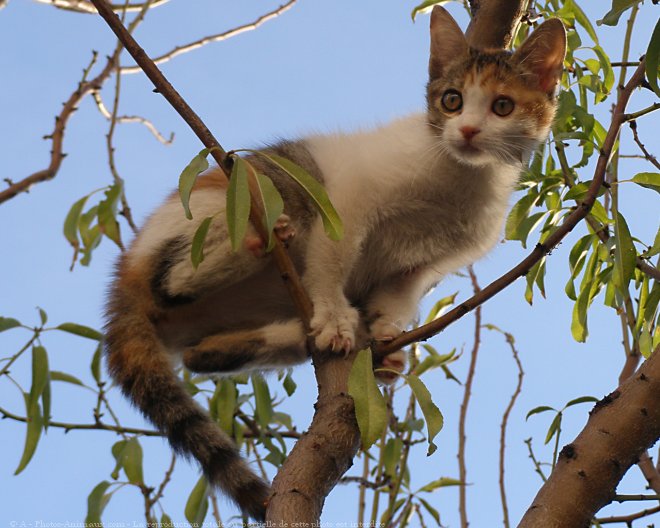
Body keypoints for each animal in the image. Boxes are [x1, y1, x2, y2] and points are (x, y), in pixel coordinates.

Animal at [104, 7, 568, 520]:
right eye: (452, 100)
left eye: (502, 106)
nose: (467, 131)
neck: (456, 178)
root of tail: (124, 277)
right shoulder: (348, 197)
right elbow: (332, 259)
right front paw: (333, 317)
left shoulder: (425, 265)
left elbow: (398, 294)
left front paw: (384, 333)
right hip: (236, 199)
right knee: (173, 281)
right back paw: (262, 242)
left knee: (198, 355)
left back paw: (293, 333)